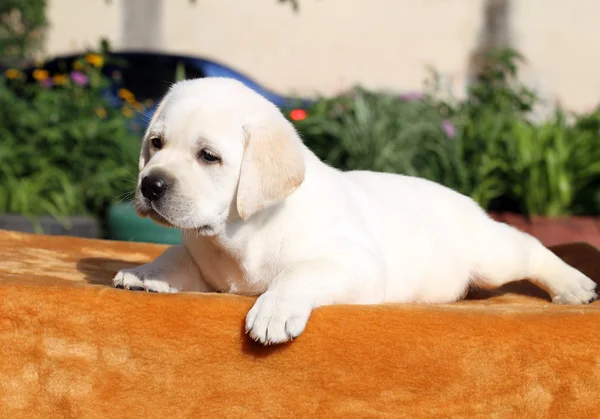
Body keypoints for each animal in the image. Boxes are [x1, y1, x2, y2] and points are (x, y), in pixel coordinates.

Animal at [112, 77, 596, 346]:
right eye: (156, 144)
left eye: (209, 156)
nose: (151, 185)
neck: (236, 237)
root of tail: (465, 200)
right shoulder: (204, 260)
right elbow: (176, 254)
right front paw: (146, 272)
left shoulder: (355, 262)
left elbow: (298, 273)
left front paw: (273, 311)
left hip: (491, 256)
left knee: (530, 246)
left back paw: (574, 285)